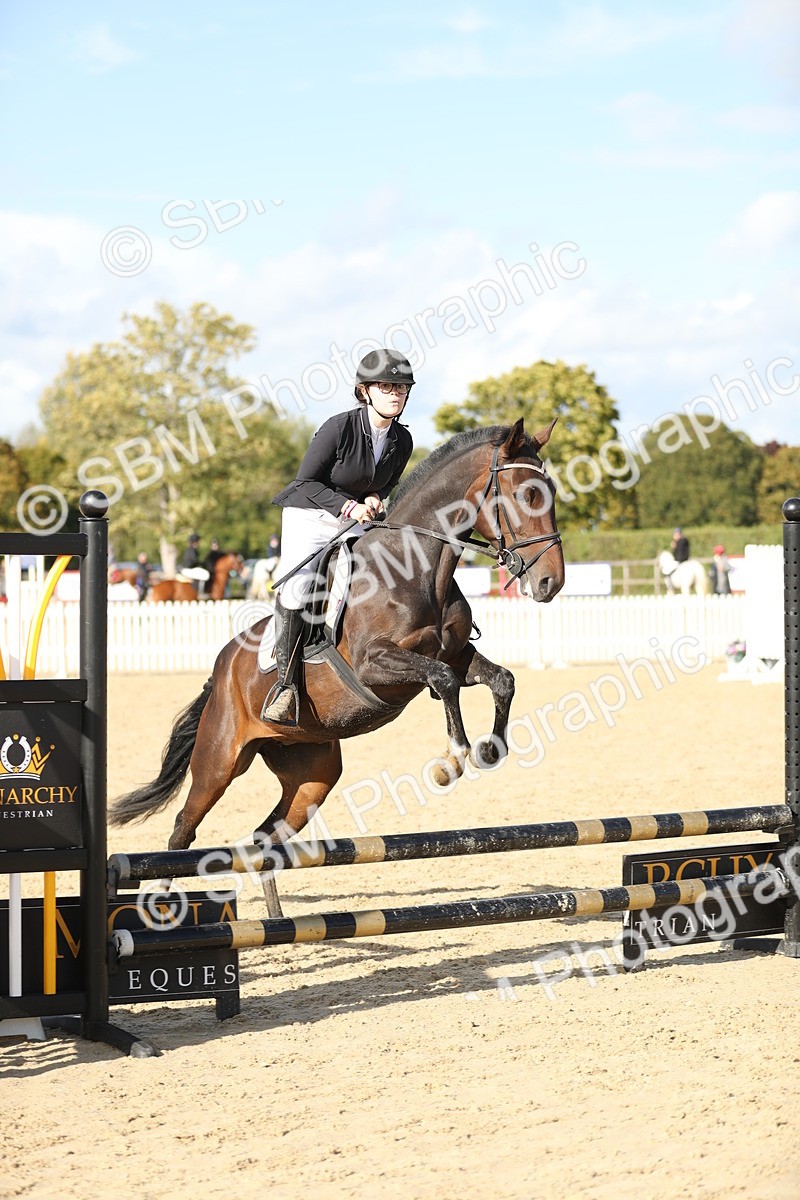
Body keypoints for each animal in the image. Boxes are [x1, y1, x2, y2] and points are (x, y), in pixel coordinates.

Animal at [110, 419, 565, 915]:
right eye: (526, 495)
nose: (550, 583)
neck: (416, 567)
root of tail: (220, 672)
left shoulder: (457, 655)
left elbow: (502, 680)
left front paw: (489, 749)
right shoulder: (374, 664)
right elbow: (443, 682)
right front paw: (453, 759)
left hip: (311, 776)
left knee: (264, 837)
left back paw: (277, 919)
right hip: (219, 763)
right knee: (182, 830)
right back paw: (163, 908)